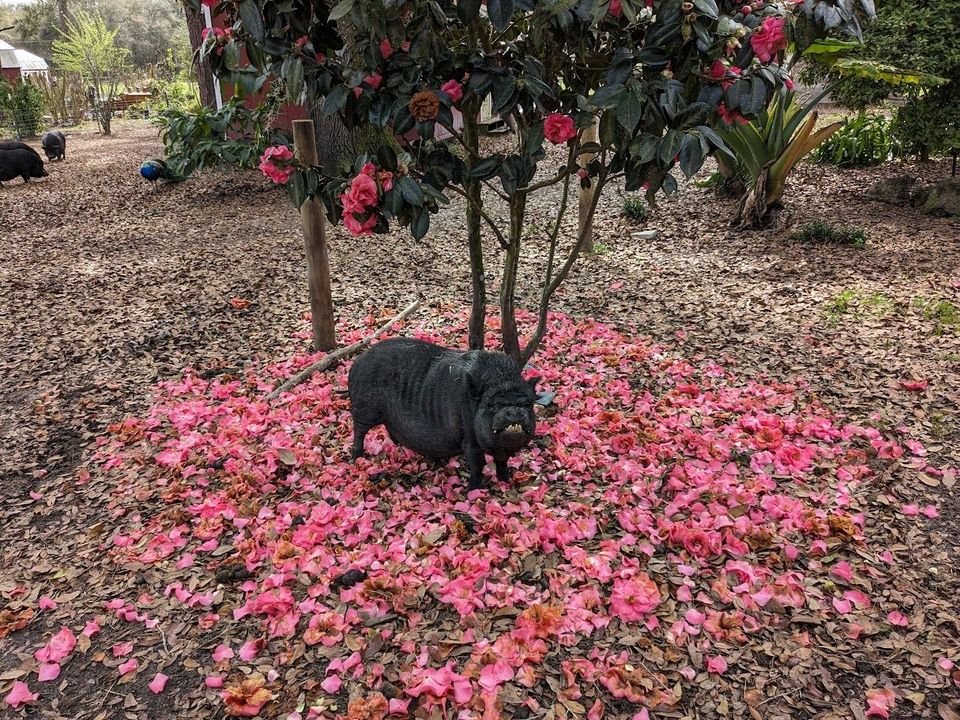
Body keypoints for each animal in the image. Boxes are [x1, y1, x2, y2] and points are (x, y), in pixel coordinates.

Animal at [348, 338, 539, 491]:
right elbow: (477, 463)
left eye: (527, 404)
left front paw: (506, 479)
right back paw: (356, 457)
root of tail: (356, 364)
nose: (514, 411)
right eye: (491, 404)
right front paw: (470, 491)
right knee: (359, 430)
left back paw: (397, 445)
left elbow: (502, 460)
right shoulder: (468, 437)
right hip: (365, 410)